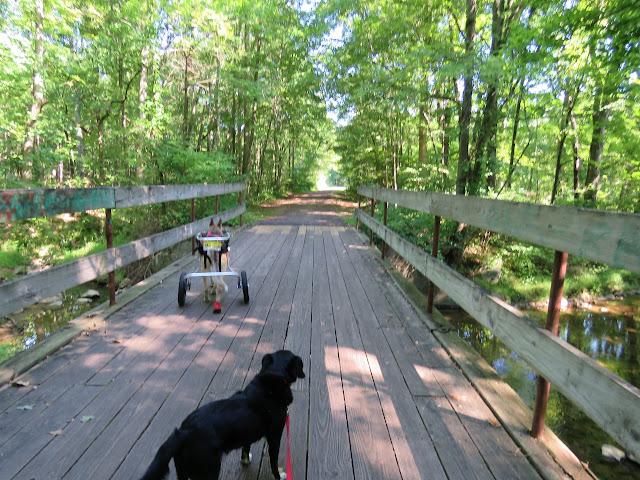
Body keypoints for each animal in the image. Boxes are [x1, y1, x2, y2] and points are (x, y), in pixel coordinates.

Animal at [139, 350, 305, 480]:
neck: (273, 379)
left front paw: (246, 461)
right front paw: (279, 476)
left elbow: (245, 449)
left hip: (182, 472)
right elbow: (274, 462)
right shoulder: (274, 436)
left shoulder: (248, 434)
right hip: (209, 472)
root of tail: (182, 433)